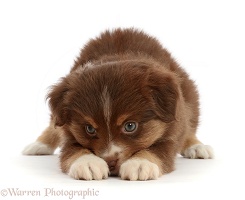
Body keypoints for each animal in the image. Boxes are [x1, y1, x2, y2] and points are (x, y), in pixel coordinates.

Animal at [23, 27, 214, 180]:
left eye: (130, 126)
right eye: (89, 128)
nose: (110, 162)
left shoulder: (172, 131)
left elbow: (158, 149)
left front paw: (140, 163)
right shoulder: (69, 132)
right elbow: (72, 149)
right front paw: (88, 163)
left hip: (189, 99)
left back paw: (197, 147)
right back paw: (39, 145)